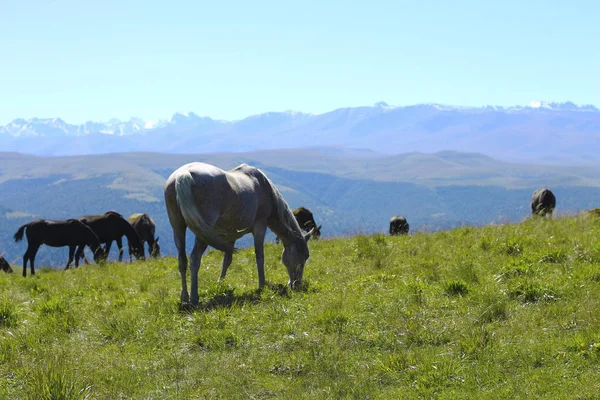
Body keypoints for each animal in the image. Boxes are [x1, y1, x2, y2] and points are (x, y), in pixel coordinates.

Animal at [165, 162, 314, 306]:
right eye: (304, 256)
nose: (297, 284)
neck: (264, 188)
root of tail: (183, 174)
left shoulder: (230, 237)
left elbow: (226, 260)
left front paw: (221, 283)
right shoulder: (260, 227)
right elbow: (259, 256)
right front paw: (262, 285)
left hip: (177, 227)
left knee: (182, 260)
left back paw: (184, 297)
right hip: (202, 234)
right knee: (195, 259)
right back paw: (194, 298)